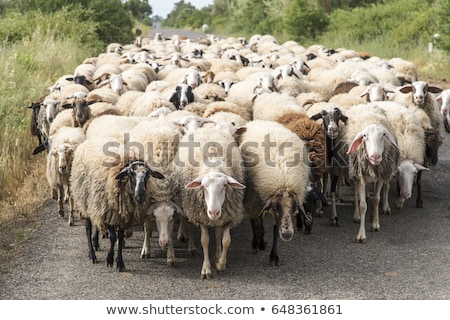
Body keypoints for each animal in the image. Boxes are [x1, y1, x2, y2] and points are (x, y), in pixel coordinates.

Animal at [71, 138, 165, 270]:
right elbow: (112, 237)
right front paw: (110, 259)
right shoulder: (109, 212)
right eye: (131, 174)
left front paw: (120, 262)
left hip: (96, 205)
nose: (140, 195)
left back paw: (96, 243)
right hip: (84, 202)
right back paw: (92, 254)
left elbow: (120, 238)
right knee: (88, 228)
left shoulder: (122, 216)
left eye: (147, 176)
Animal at [174, 125, 248, 278]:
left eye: (224, 185)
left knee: (218, 233)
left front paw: (220, 264)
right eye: (204, 186)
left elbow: (226, 240)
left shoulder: (228, 216)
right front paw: (206, 269)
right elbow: (205, 240)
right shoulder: (201, 216)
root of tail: (207, 128)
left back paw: (217, 256)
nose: (213, 212)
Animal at [241, 119, 312, 266]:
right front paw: (257, 243)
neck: (282, 180)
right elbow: (256, 222)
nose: (287, 234)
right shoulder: (253, 201)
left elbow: (275, 230)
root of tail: (259, 121)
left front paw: (273, 256)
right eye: (274, 207)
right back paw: (258, 242)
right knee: (255, 220)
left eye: (295, 208)